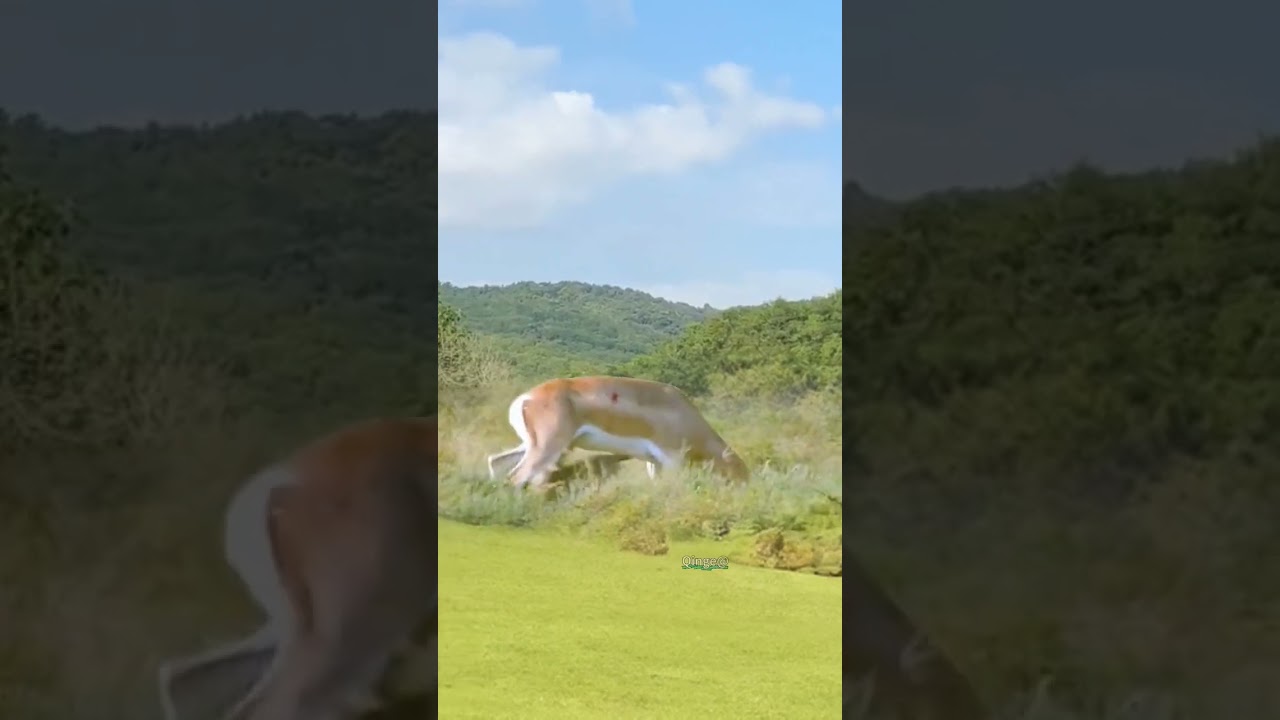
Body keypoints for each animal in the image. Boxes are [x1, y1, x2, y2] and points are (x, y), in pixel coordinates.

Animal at [485, 376, 749, 491]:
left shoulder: (654, 462)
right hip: (547, 448)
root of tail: (525, 398)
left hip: (529, 446)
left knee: (495, 461)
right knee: (517, 478)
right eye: (742, 474)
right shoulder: (672, 458)